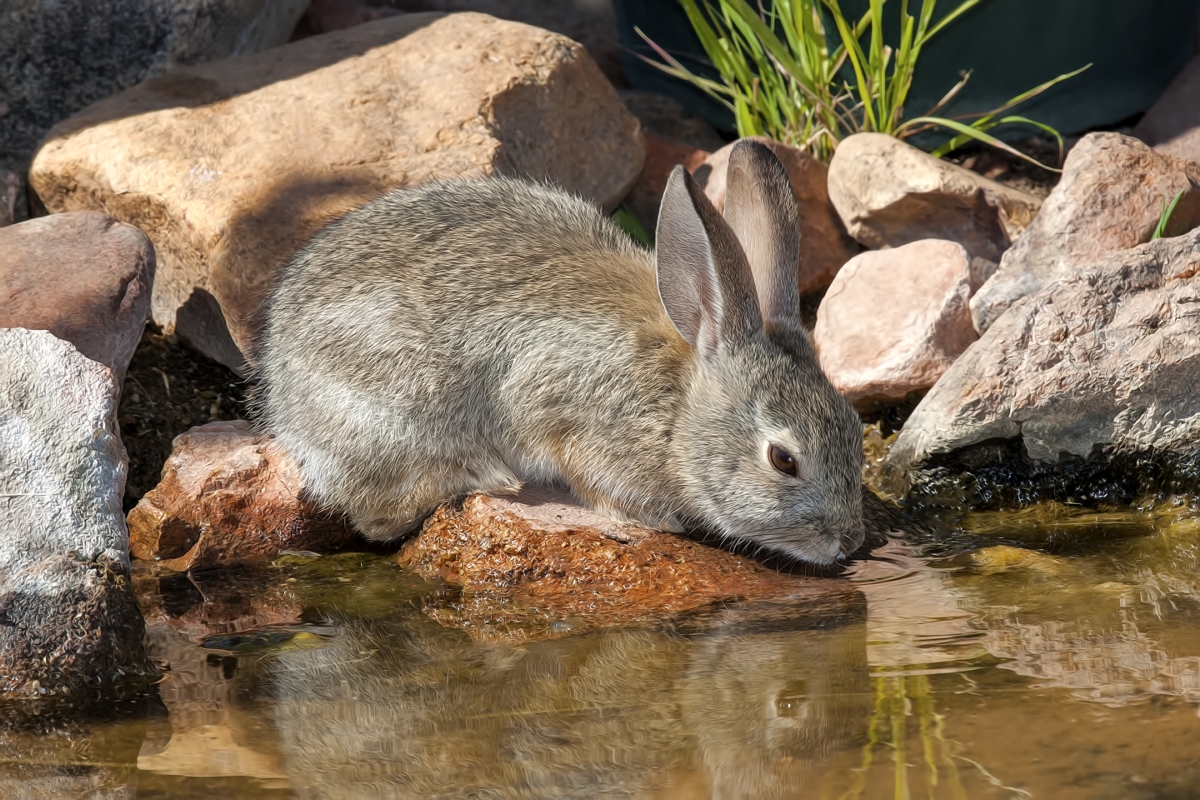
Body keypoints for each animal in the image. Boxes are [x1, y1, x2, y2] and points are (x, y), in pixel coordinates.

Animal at [258, 140, 868, 566]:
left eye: (857, 430)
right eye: (783, 460)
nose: (848, 543)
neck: (678, 407)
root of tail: (282, 389)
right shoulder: (568, 413)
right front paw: (655, 521)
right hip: (393, 410)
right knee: (377, 515)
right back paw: (485, 476)